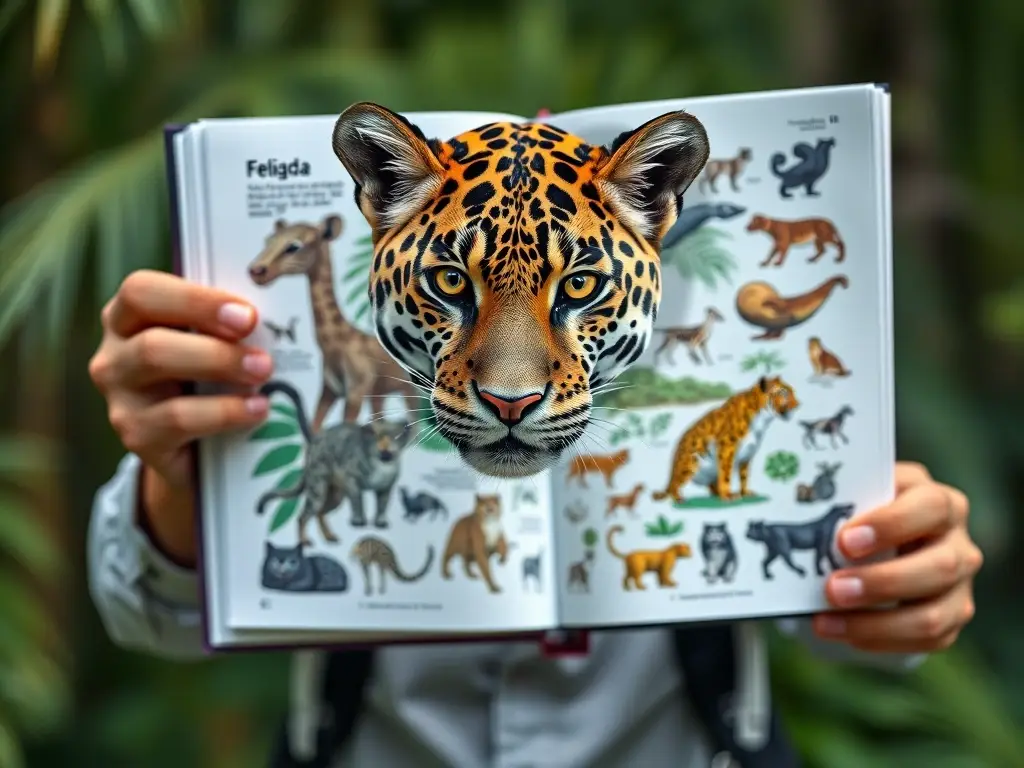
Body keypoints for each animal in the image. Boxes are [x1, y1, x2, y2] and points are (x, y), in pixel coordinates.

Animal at [651, 376, 799, 504]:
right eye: (784, 393)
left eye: (792, 391)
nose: (798, 405)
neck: (762, 419)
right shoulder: (727, 448)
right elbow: (726, 474)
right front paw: (728, 495)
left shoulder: (747, 453)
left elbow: (744, 476)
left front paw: (745, 493)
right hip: (690, 464)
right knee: (674, 485)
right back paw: (679, 499)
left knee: (709, 486)